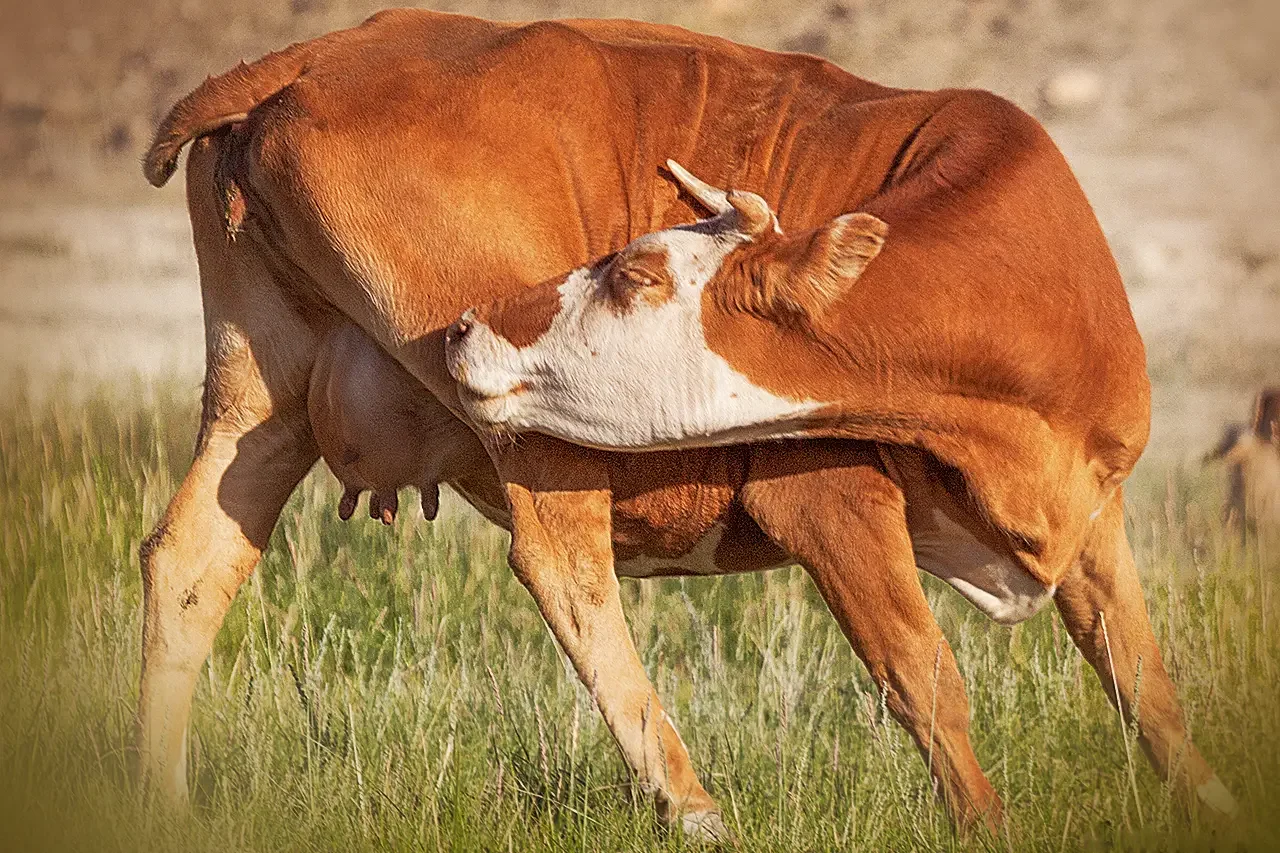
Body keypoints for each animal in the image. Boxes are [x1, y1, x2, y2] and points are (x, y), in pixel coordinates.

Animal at [138, 8, 1234, 839]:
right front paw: (988, 826)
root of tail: (324, 51)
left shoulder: (1093, 508)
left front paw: (1212, 804)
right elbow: (923, 672)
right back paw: (693, 806)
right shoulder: (824, 493)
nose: (467, 328)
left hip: (262, 388)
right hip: (532, 436)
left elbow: (1144, 678)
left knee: (192, 559)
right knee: (566, 570)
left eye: (632, 270)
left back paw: (166, 800)